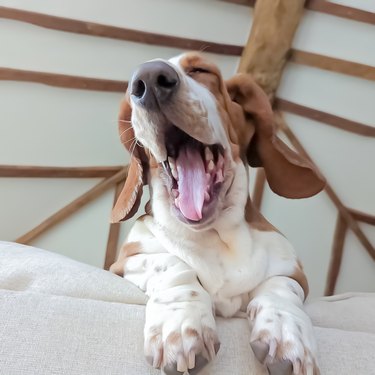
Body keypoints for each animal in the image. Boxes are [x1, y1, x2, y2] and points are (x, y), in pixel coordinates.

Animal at [109, 50, 326, 375]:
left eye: (201, 70)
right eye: (131, 87)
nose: (148, 79)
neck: (217, 234)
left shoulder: (293, 274)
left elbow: (279, 288)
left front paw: (288, 332)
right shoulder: (124, 262)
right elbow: (170, 264)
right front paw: (180, 324)